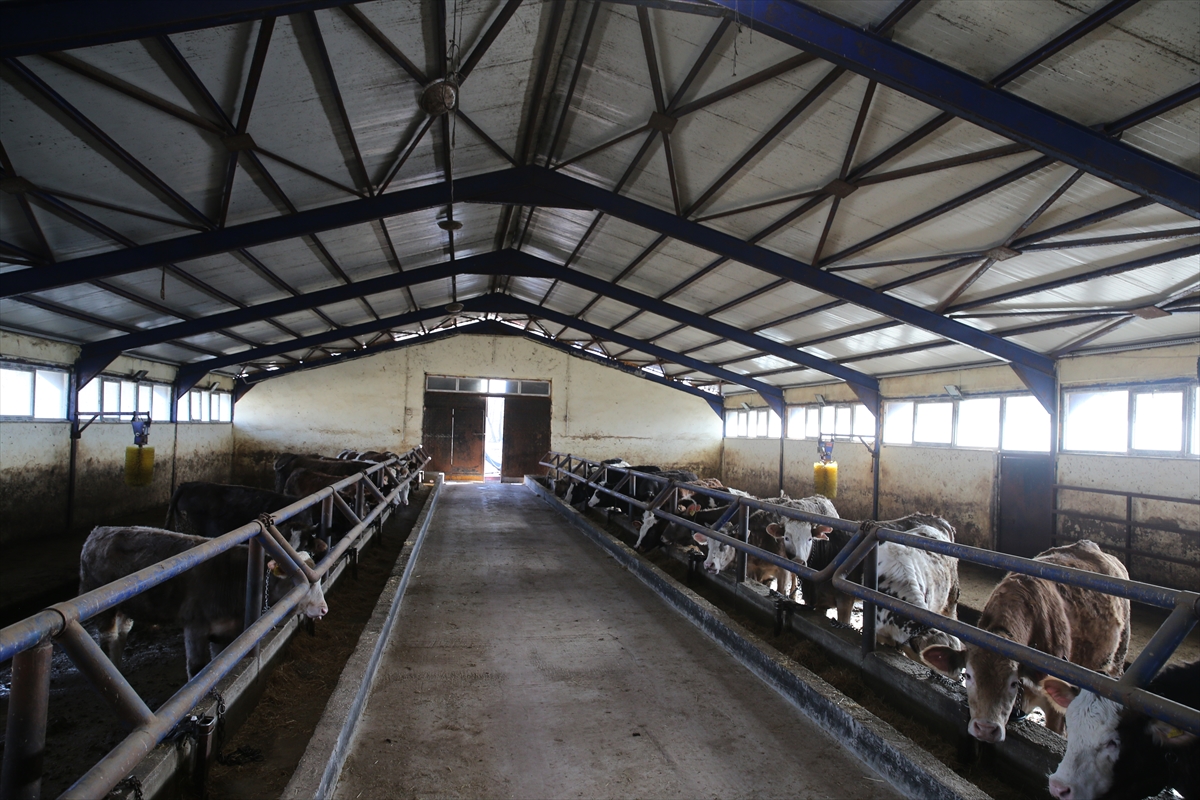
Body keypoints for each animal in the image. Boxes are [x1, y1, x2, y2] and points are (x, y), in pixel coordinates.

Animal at [80, 525, 328, 678]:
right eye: (304, 582)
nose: (324, 608)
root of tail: (98, 531)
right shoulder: (195, 626)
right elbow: (198, 668)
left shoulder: (224, 633)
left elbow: (217, 664)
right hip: (104, 609)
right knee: (108, 640)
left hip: (127, 608)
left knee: (121, 635)